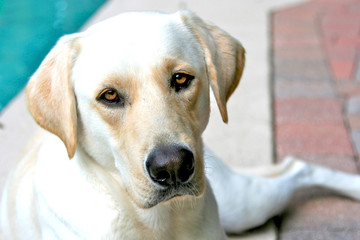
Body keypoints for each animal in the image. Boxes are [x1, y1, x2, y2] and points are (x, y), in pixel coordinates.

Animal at [2, 10, 360, 239]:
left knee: (299, 167)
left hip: (242, 203)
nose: (172, 166)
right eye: (109, 95)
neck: (159, 222)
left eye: (181, 79)